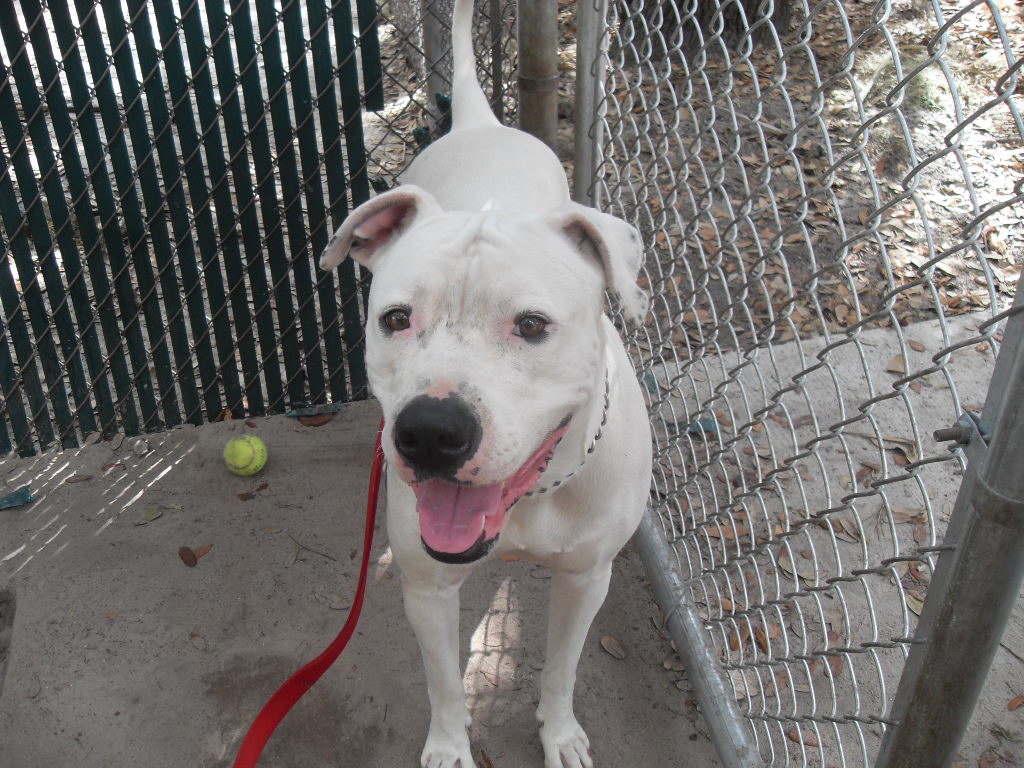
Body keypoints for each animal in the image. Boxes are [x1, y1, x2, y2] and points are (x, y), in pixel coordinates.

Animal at [323, 3, 651, 765]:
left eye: (531, 325)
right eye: (396, 318)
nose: (429, 432)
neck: (533, 496)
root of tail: (475, 121)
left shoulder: (587, 578)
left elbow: (561, 669)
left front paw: (559, 734)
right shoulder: (427, 587)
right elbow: (446, 685)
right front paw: (450, 746)